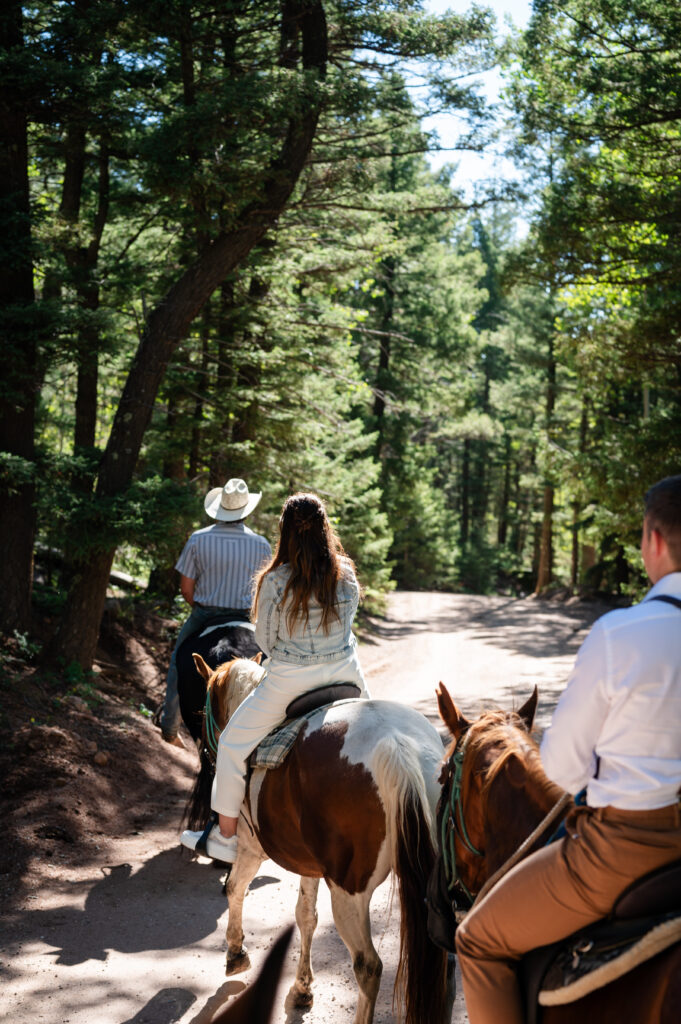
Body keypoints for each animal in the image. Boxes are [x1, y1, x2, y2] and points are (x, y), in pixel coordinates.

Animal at [186, 655, 450, 1024]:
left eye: (203, 713)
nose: (205, 757)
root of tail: (397, 747)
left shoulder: (251, 848)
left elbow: (235, 888)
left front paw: (236, 952)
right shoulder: (309, 864)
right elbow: (305, 916)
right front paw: (301, 989)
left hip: (348, 890)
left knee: (368, 966)